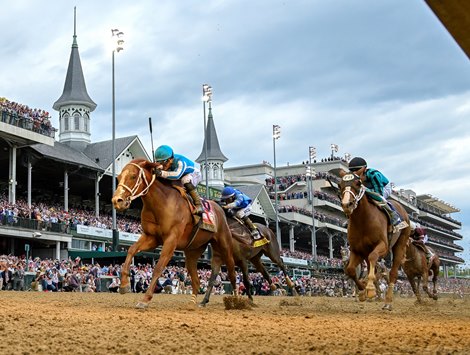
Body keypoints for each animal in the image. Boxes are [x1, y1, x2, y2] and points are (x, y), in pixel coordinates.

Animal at [109, 160, 235, 310]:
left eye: (133, 176)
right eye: (118, 177)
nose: (117, 201)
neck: (161, 203)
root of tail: (219, 208)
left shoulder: (171, 240)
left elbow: (158, 268)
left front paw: (145, 299)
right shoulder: (151, 237)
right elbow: (131, 250)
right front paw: (124, 285)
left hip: (224, 244)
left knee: (231, 269)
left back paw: (238, 298)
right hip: (193, 251)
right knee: (197, 279)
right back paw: (195, 302)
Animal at [338, 170, 412, 312]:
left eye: (358, 183)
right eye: (340, 184)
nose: (346, 205)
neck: (363, 221)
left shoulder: (382, 245)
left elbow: (373, 257)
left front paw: (370, 289)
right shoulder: (357, 250)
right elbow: (351, 270)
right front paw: (362, 292)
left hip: (400, 244)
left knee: (393, 273)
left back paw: (387, 302)